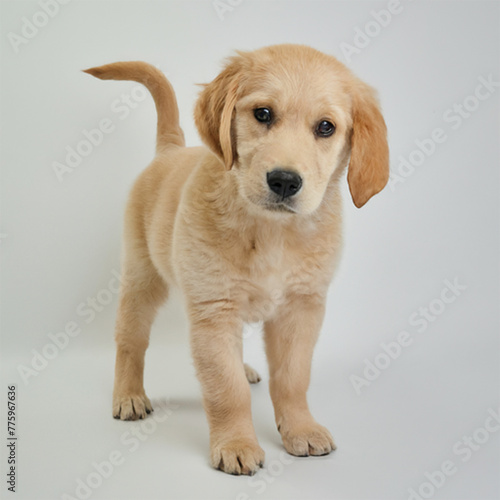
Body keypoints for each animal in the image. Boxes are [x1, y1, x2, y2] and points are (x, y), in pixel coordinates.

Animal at [84, 44, 388, 476]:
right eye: (263, 113)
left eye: (326, 127)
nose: (284, 181)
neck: (271, 231)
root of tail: (171, 149)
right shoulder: (214, 309)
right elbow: (226, 390)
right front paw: (236, 444)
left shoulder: (302, 308)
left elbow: (293, 378)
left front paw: (301, 429)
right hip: (142, 279)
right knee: (131, 340)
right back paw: (128, 395)